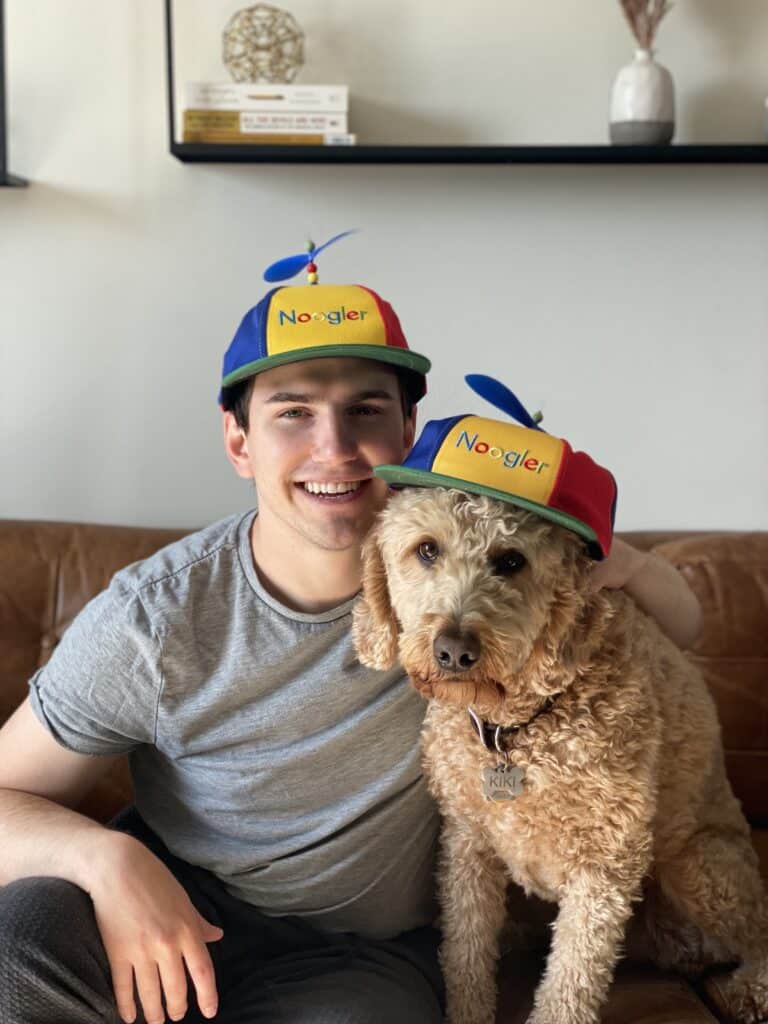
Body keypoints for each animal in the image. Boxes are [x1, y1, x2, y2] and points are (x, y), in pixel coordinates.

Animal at [354, 485, 768, 1024]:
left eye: (512, 560)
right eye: (426, 550)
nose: (454, 650)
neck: (516, 730)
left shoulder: (606, 866)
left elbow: (570, 983)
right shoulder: (467, 844)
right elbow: (466, 955)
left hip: (698, 865)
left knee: (760, 932)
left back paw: (749, 990)